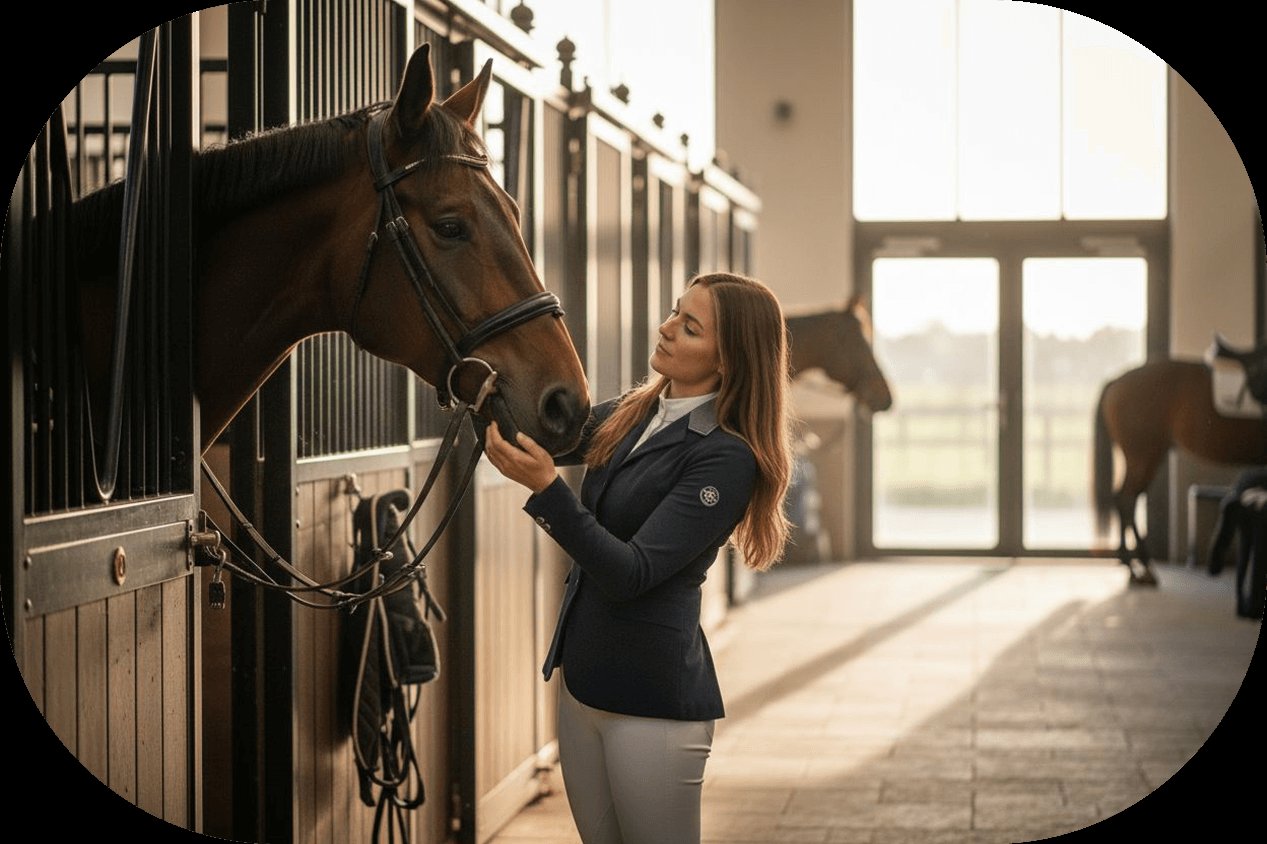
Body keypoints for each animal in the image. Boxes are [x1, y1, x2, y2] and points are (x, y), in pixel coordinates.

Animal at [1093, 357, 1267, 586]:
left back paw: (1135, 566)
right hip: (1143, 452)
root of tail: (1116, 381)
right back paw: (1137, 567)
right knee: (1126, 499)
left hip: (1148, 453)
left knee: (1128, 498)